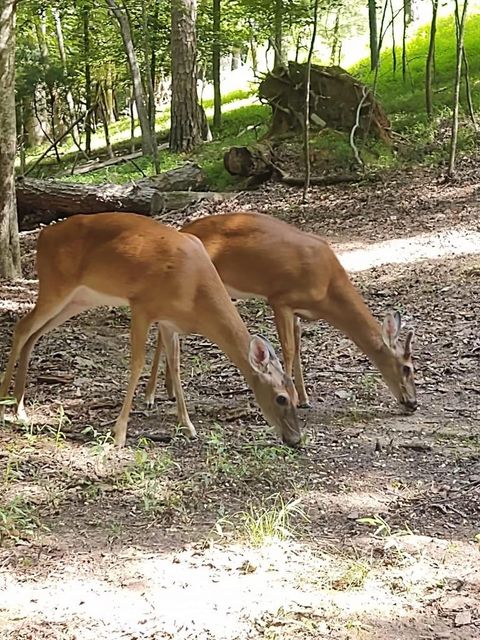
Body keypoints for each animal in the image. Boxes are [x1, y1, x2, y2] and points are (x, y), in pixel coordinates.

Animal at [0, 212, 300, 448]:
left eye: (297, 397)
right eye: (281, 398)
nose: (296, 440)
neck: (194, 290)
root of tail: (43, 235)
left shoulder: (169, 321)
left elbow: (176, 366)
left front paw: (187, 426)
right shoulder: (142, 306)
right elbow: (136, 363)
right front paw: (119, 433)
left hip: (79, 298)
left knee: (34, 333)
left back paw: (19, 406)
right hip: (56, 286)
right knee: (22, 326)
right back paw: (6, 400)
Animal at [146, 212, 416, 416]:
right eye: (407, 368)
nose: (413, 403)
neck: (328, 287)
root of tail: (181, 229)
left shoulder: (297, 309)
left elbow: (298, 348)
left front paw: (305, 398)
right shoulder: (280, 299)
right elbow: (288, 348)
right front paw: (293, 397)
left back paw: (168, 391)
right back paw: (150, 396)